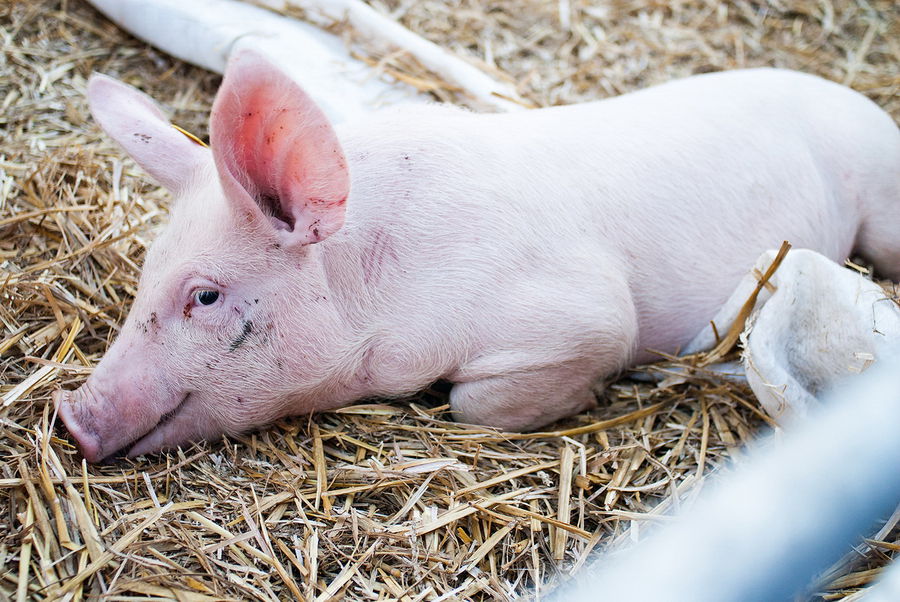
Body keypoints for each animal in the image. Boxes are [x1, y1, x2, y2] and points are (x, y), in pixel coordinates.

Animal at [54, 48, 900, 460]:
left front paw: (592, 396)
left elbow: (473, 404)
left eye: (205, 296)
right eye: (144, 278)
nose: (70, 417)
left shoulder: (585, 315)